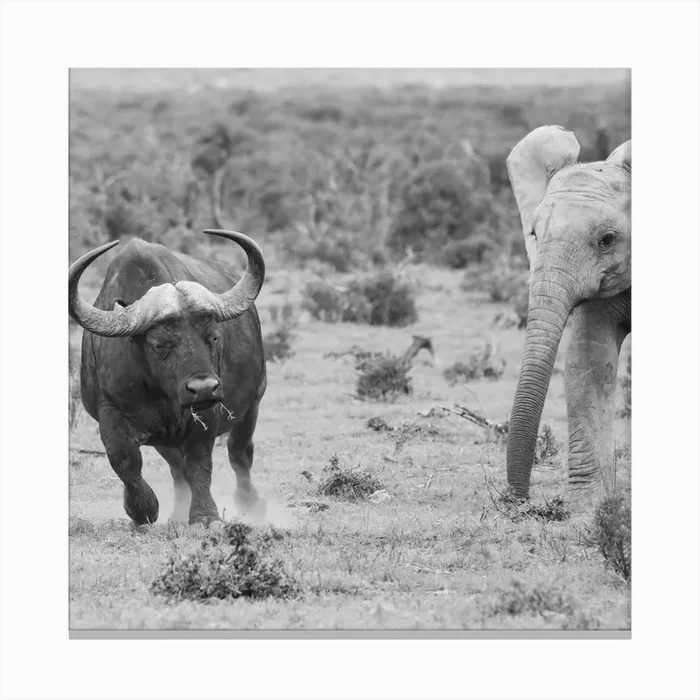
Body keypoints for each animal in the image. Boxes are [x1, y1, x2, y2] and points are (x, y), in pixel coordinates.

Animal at [69, 229, 267, 525]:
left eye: (213, 337)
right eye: (160, 345)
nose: (204, 388)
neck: (161, 393)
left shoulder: (205, 415)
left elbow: (198, 463)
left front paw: (205, 515)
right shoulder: (110, 411)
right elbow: (125, 459)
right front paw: (143, 509)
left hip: (253, 403)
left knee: (240, 453)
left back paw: (251, 503)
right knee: (176, 467)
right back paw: (177, 513)